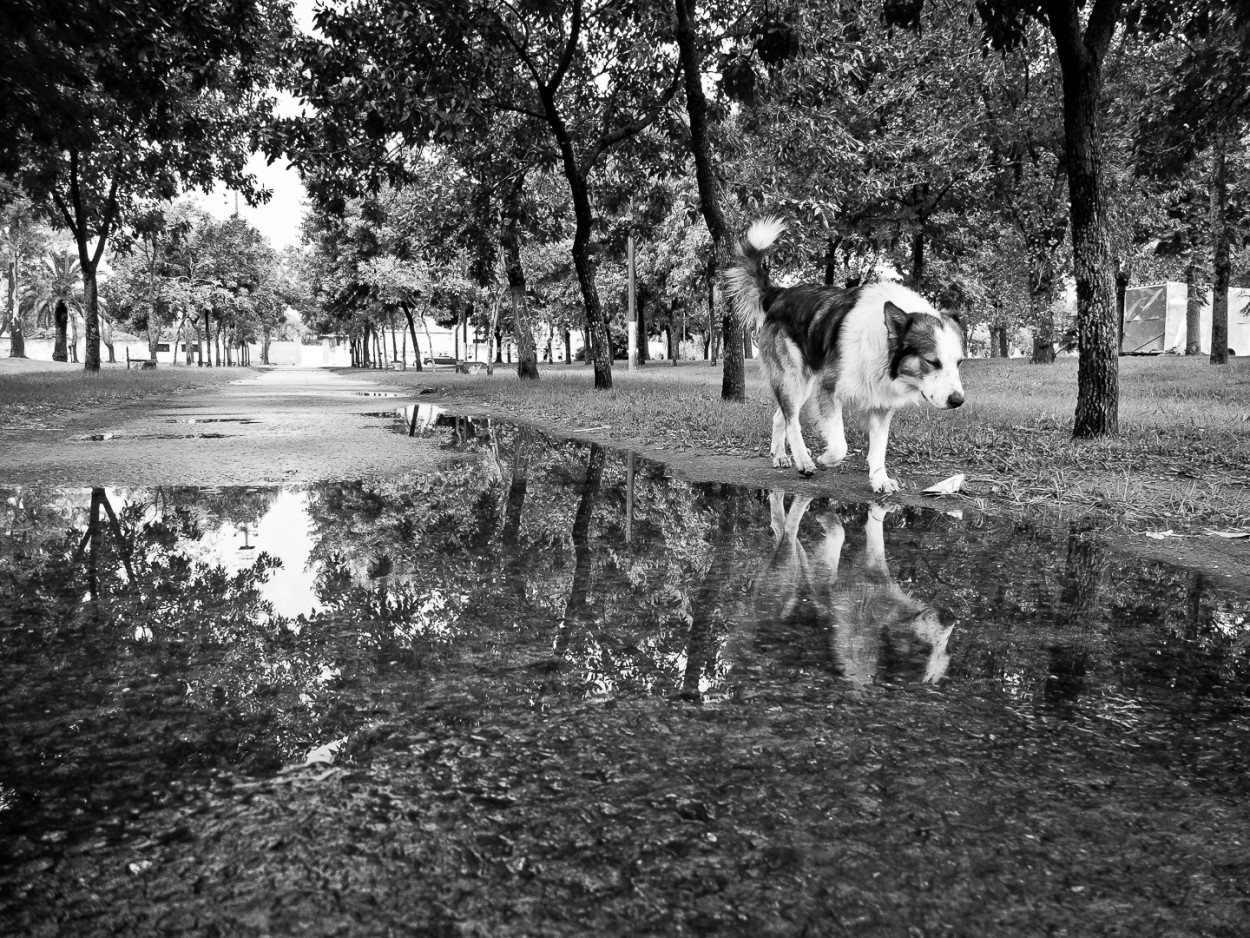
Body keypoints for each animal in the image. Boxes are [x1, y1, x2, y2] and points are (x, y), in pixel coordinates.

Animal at [725, 220, 965, 495]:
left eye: (959, 362)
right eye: (932, 361)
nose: (958, 401)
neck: (881, 342)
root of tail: (780, 294)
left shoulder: (882, 403)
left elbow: (879, 448)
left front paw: (880, 479)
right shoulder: (828, 389)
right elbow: (840, 446)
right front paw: (826, 458)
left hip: (802, 383)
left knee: (782, 416)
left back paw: (781, 456)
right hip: (792, 377)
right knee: (792, 420)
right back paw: (803, 460)